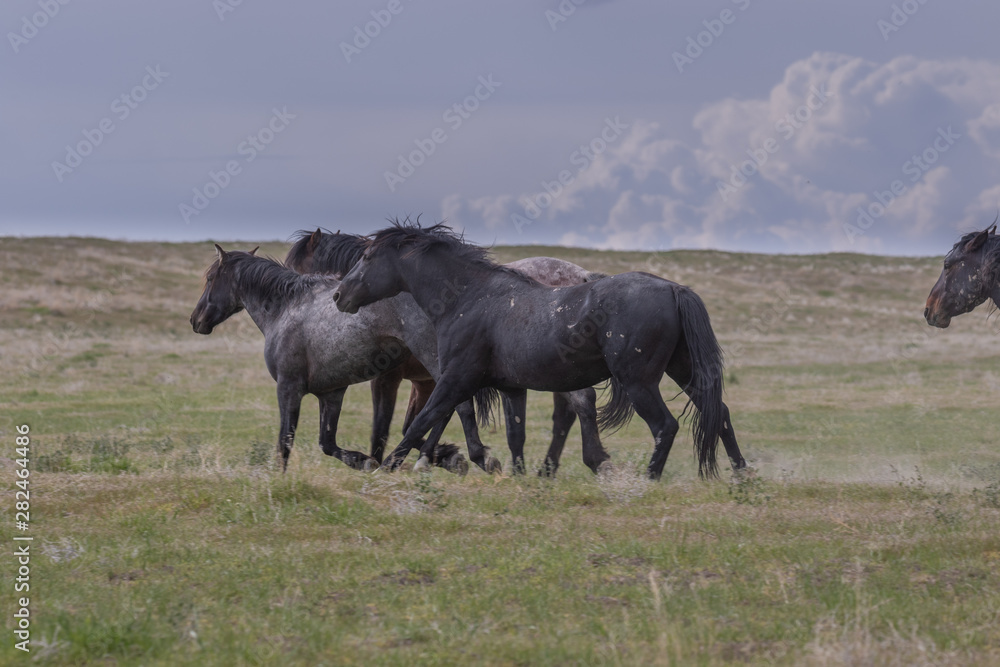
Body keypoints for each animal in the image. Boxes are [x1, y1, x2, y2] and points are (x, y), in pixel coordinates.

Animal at [189, 244, 471, 473]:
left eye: (211, 278)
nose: (196, 320)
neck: (286, 309)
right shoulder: (331, 393)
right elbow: (327, 443)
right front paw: (363, 461)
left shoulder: (288, 388)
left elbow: (285, 441)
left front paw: (278, 480)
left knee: (448, 407)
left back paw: (426, 460)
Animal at [285, 228, 612, 476]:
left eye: (301, 274)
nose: (338, 298)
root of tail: (583, 275)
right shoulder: (427, 380)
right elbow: (427, 418)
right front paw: (443, 457)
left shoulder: (407, 376)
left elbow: (396, 423)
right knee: (565, 414)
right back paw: (548, 469)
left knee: (582, 402)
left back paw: (591, 463)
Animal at [333, 222, 748, 480]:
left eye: (367, 258)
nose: (339, 296)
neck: (469, 298)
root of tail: (674, 289)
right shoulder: (511, 388)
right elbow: (515, 435)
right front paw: (515, 477)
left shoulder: (455, 380)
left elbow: (422, 422)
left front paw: (385, 468)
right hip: (683, 371)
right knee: (719, 413)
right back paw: (743, 476)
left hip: (639, 381)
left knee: (666, 425)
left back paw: (646, 481)